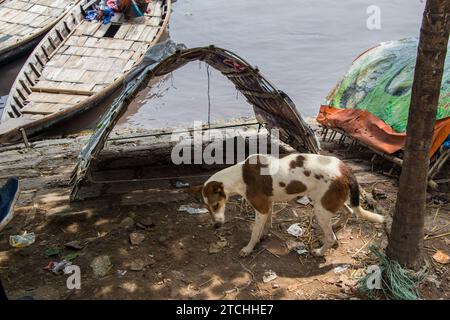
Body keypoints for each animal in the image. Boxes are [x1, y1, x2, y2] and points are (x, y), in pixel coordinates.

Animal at [196, 152, 384, 258]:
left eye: (216, 205)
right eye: (207, 208)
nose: (216, 226)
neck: (240, 176)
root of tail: (345, 168)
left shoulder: (261, 208)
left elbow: (254, 232)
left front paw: (249, 248)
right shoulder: (268, 205)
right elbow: (266, 224)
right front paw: (264, 235)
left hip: (320, 209)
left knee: (331, 238)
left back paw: (319, 252)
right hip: (327, 201)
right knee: (349, 211)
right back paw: (337, 224)